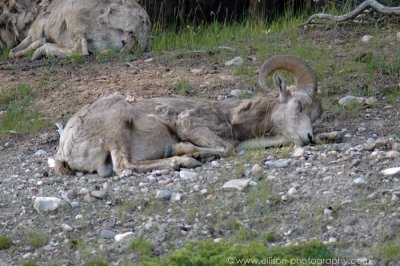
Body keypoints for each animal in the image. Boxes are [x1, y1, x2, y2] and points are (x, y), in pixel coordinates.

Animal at [54, 55, 322, 177]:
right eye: (299, 105)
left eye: (316, 114)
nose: (309, 137)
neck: (230, 118)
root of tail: (65, 150)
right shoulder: (189, 124)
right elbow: (226, 148)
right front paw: (182, 150)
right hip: (117, 125)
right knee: (124, 166)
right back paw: (181, 161)